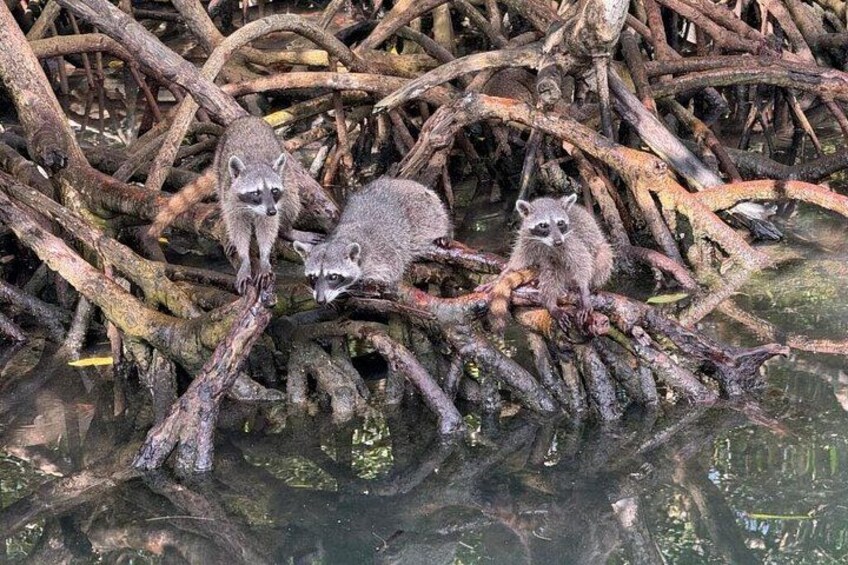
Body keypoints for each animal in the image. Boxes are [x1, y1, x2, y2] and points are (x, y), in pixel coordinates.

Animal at [149, 117, 301, 294]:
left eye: (274, 190)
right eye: (256, 193)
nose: (271, 211)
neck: (256, 162)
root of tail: (249, 118)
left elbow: (267, 226)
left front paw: (264, 258)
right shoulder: (231, 197)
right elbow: (237, 226)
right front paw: (245, 259)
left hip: (287, 173)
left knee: (291, 200)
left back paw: (288, 229)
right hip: (220, 165)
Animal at [293, 178, 451, 305]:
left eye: (333, 277)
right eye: (313, 277)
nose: (320, 301)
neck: (341, 238)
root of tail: (406, 182)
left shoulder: (383, 255)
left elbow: (389, 274)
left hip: (428, 212)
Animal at [490, 194, 613, 329]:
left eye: (560, 223)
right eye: (543, 225)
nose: (558, 242)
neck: (545, 243)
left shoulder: (570, 239)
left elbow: (582, 260)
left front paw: (584, 288)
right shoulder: (526, 237)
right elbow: (519, 260)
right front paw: (505, 272)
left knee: (602, 257)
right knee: (551, 270)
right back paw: (551, 302)